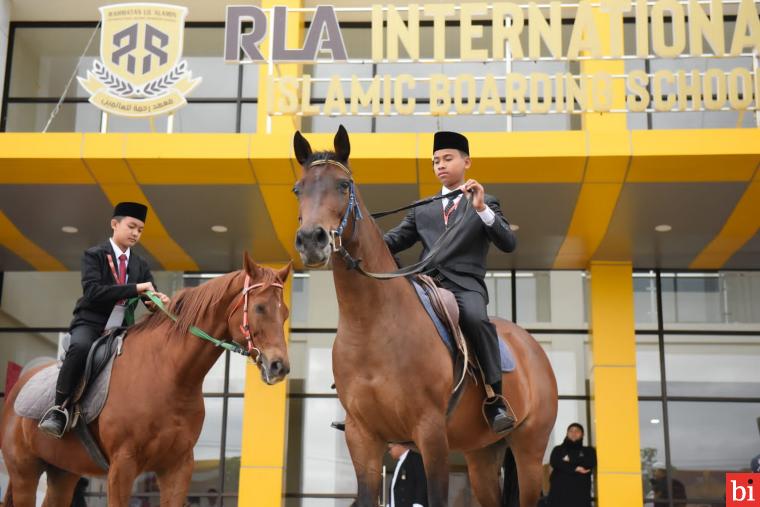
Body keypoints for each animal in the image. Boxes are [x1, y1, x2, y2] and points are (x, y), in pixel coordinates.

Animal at [0, 256, 290, 507]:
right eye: (259, 307)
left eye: (285, 312)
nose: (280, 366)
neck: (169, 376)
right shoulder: (122, 466)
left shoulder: (178, 466)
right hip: (24, 472)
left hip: (63, 471)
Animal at [290, 128, 560, 507]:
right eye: (298, 189)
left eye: (344, 185)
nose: (311, 241)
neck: (372, 326)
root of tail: (532, 348)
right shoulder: (361, 437)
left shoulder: (430, 433)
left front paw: (479, 204)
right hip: (482, 454)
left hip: (529, 451)